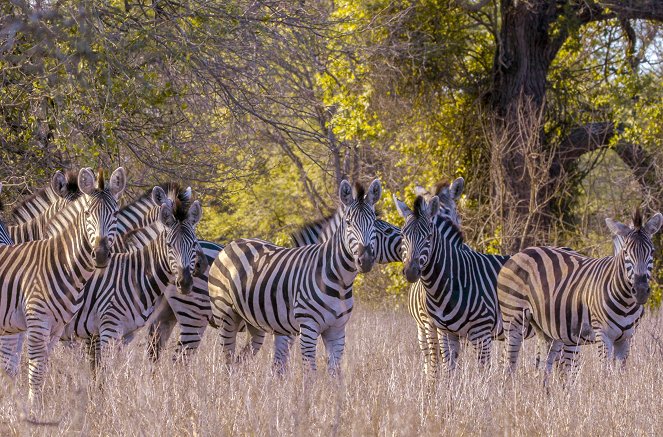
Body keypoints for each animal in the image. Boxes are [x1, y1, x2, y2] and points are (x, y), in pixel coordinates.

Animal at [0, 168, 126, 402]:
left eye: (115, 215)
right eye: (87, 214)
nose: (101, 254)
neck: (61, 263)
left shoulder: (57, 328)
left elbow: (42, 370)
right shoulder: (37, 322)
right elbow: (35, 372)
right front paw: (33, 408)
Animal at [61, 190, 202, 368]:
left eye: (194, 243)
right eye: (169, 245)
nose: (185, 283)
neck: (134, 272)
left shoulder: (121, 333)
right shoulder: (106, 328)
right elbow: (102, 369)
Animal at [208, 179, 384, 372]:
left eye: (374, 223)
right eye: (348, 223)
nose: (365, 260)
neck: (340, 282)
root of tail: (232, 243)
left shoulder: (337, 330)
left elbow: (335, 373)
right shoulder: (307, 327)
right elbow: (309, 372)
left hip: (254, 323)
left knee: (240, 358)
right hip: (225, 315)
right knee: (228, 358)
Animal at [396, 177, 510, 374]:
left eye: (450, 210)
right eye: (403, 235)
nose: (410, 271)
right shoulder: (432, 326)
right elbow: (440, 363)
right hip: (421, 330)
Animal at [498, 208, 663, 374]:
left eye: (652, 252)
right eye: (626, 253)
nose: (640, 291)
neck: (627, 303)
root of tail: (523, 251)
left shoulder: (626, 339)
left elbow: (620, 374)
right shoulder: (603, 335)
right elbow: (605, 373)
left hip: (546, 328)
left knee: (544, 364)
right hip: (513, 319)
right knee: (508, 362)